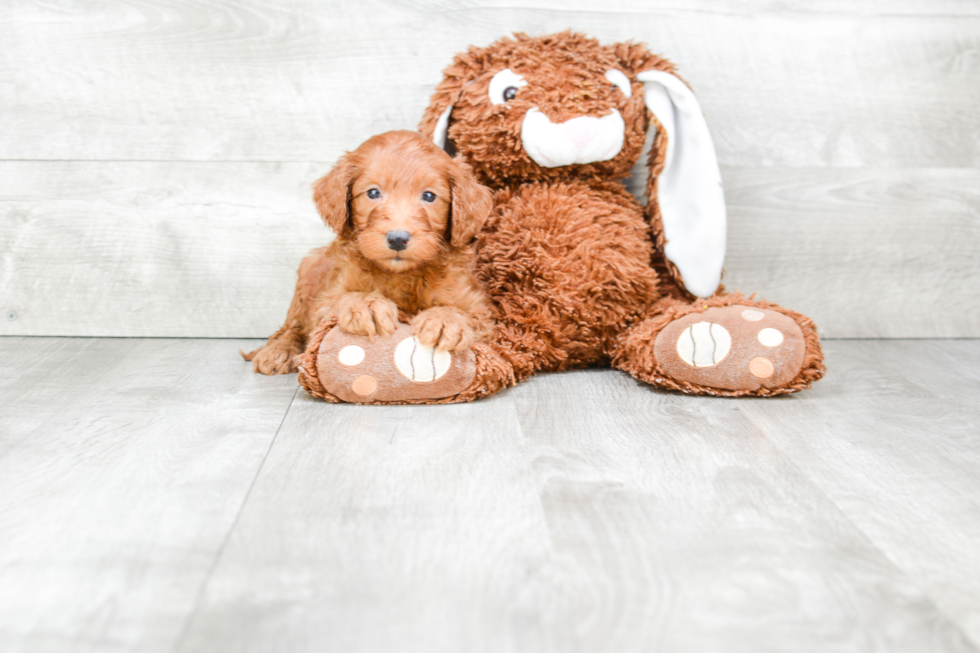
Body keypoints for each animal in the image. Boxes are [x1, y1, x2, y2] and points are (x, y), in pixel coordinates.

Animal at [242, 130, 494, 374]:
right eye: (373, 193)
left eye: (429, 196)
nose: (398, 239)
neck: (402, 275)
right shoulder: (326, 299)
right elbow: (338, 302)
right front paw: (366, 305)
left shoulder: (480, 311)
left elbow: (465, 313)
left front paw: (444, 320)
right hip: (308, 269)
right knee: (291, 327)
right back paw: (279, 351)